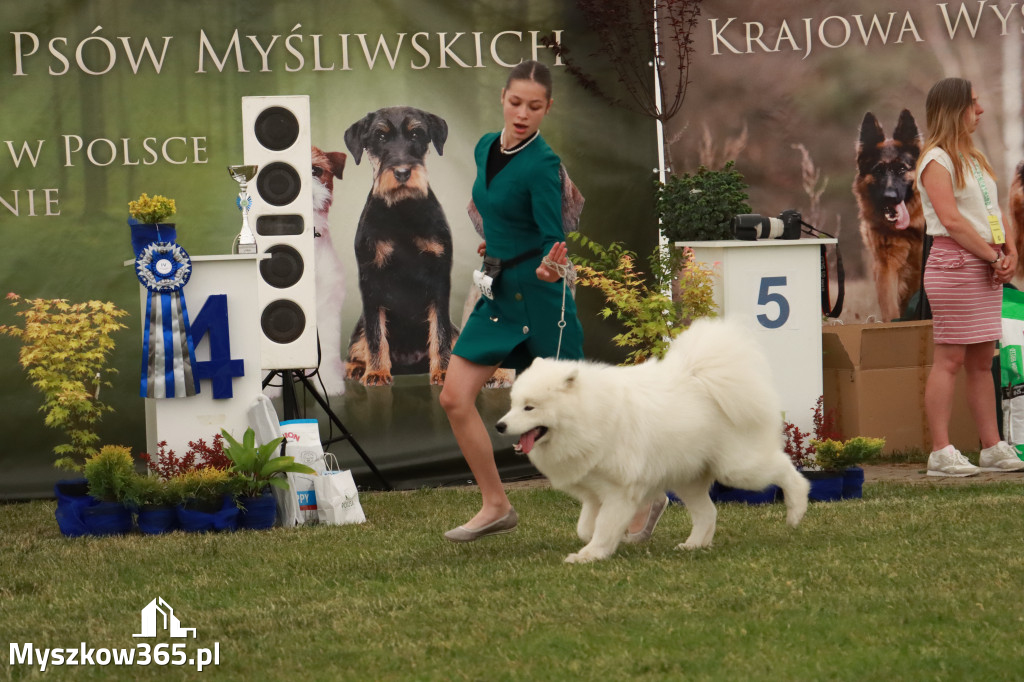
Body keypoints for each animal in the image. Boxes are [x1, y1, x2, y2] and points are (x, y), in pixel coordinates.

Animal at [495, 315, 806, 561]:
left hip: (737, 468)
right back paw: (694, 545)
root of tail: (703, 378)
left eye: (529, 407)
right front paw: (604, 542)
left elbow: (603, 527)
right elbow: (586, 527)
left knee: (785, 468)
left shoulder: (619, 491)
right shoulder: (595, 493)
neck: (589, 415)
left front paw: (591, 555)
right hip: (688, 479)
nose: (499, 425)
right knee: (708, 513)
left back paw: (796, 510)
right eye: (512, 404)